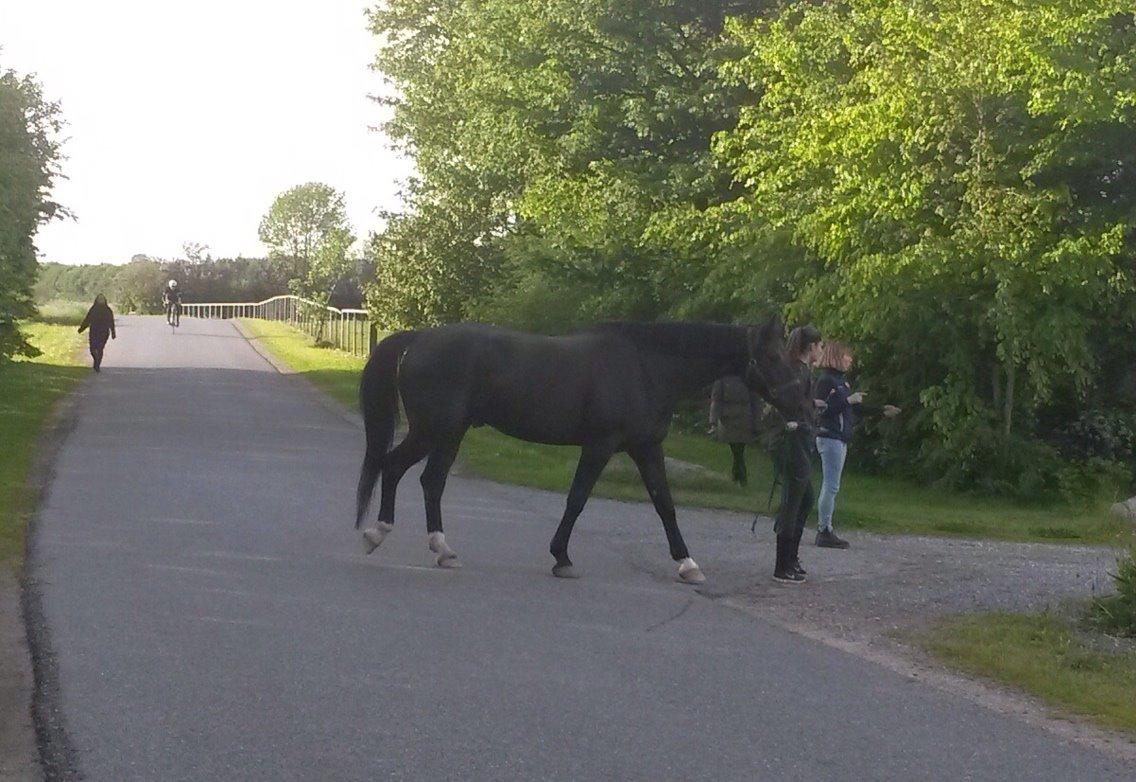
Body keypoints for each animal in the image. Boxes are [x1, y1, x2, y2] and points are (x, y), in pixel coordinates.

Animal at [354, 315, 808, 579]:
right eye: (771, 356)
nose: (805, 405)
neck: (646, 367)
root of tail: (419, 339)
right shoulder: (600, 445)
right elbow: (577, 499)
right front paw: (562, 557)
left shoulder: (647, 448)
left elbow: (665, 504)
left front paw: (687, 563)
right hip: (438, 430)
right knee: (410, 474)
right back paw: (403, 540)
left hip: (443, 432)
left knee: (412, 475)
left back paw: (416, 543)